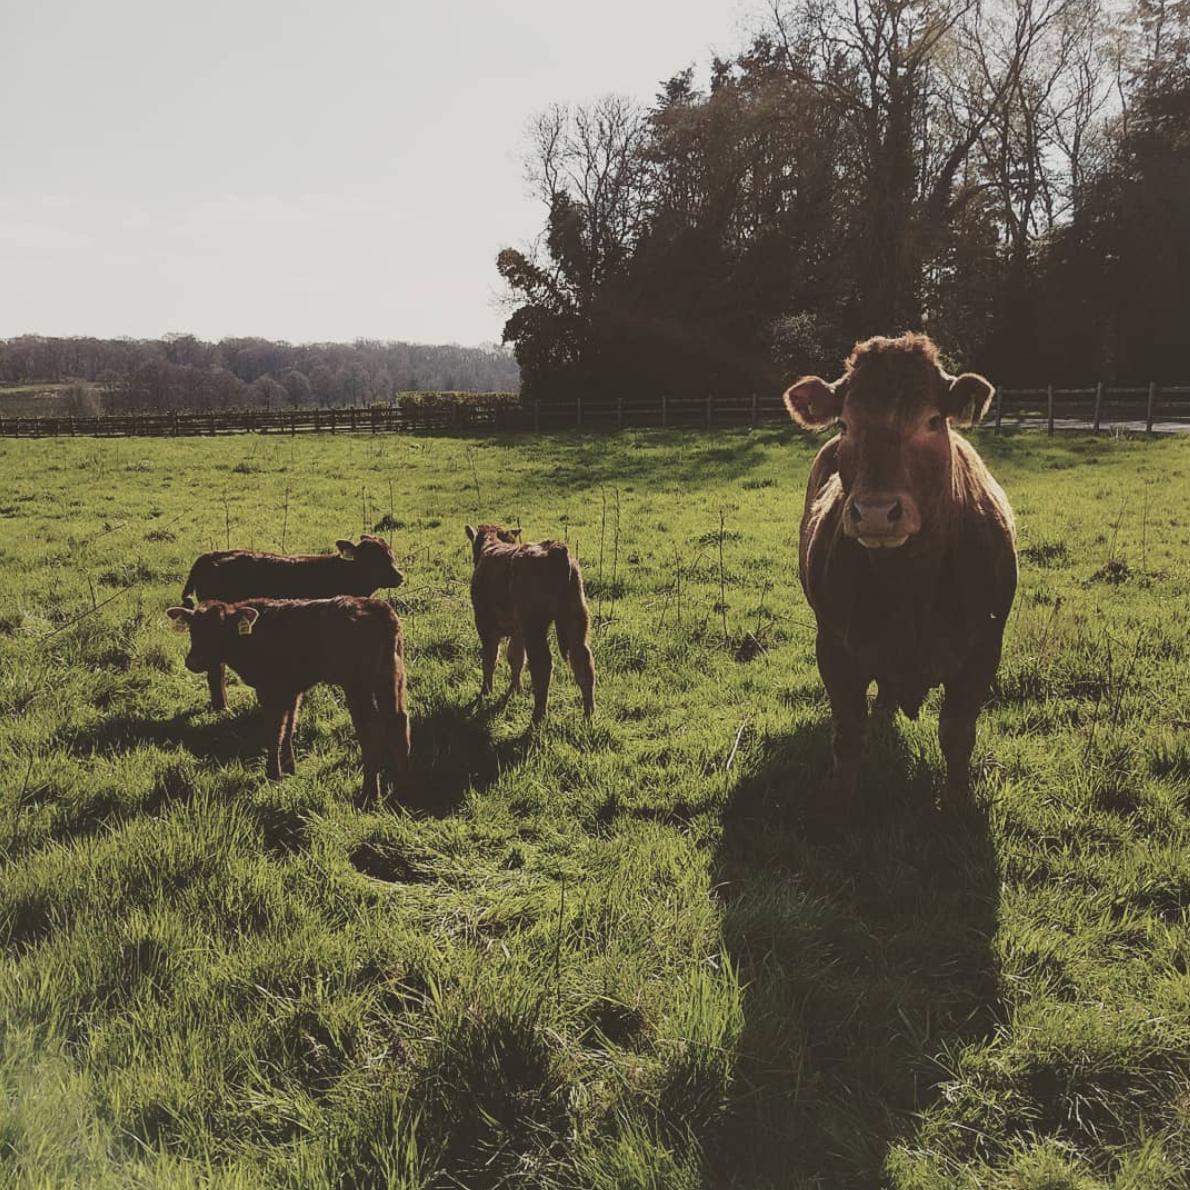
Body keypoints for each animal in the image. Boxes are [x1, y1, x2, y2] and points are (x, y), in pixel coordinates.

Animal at [166, 596, 410, 802]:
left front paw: (273, 772)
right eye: (193, 629)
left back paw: (370, 794)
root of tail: (374, 605)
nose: (193, 661)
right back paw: (403, 788)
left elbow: (274, 730)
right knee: (398, 721)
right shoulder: (292, 689)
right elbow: (289, 726)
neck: (254, 635)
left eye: (220, 629)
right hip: (392, 677)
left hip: (358, 685)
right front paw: (290, 768)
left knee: (371, 729)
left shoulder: (271, 688)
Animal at [180, 536, 404, 711]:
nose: (399, 576)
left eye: (390, 555)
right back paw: (223, 708)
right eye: (374, 559)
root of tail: (210, 556)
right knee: (215, 670)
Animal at [465, 524, 596, 724]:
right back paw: (589, 715)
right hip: (575, 617)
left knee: (542, 664)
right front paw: (515, 689)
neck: (492, 544)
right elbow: (516, 657)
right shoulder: (518, 631)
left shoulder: (485, 623)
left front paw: (486, 692)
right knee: (582, 659)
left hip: (535, 626)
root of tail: (554, 548)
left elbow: (490, 658)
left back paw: (537, 717)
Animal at [783, 332, 1017, 807]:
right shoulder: (833, 647)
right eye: (845, 424)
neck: (910, 584)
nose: (875, 512)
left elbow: (957, 734)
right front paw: (840, 800)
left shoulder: (983, 650)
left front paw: (957, 801)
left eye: (932, 421)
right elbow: (848, 733)